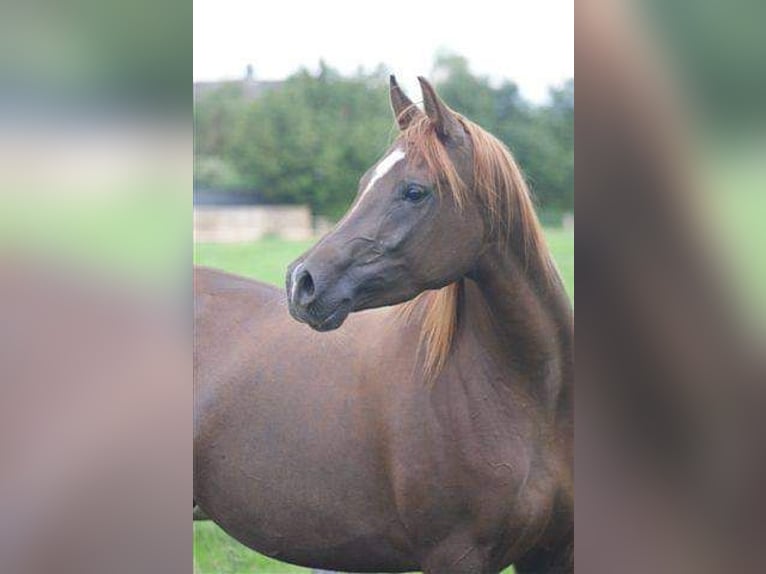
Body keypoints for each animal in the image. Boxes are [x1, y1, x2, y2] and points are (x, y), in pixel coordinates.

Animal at [195, 77, 572, 574]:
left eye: (414, 191)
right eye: (364, 184)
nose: (301, 281)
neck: (526, 396)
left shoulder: (553, 552)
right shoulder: (456, 555)